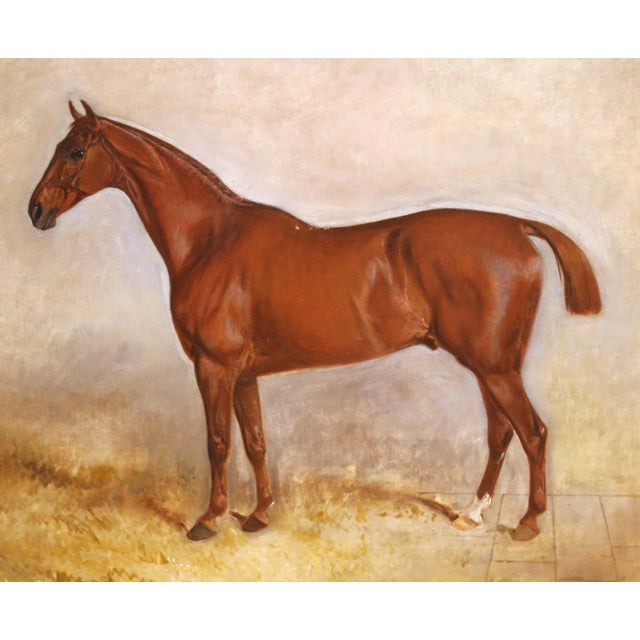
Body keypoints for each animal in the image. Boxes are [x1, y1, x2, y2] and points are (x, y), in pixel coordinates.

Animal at [28, 100, 601, 542]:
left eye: (75, 151)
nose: (35, 211)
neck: (211, 240)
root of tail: (516, 226)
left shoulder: (214, 367)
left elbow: (218, 442)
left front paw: (209, 520)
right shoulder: (245, 374)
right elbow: (256, 440)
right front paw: (258, 515)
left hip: (495, 367)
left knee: (533, 433)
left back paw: (527, 523)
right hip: (492, 367)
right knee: (501, 434)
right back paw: (471, 514)